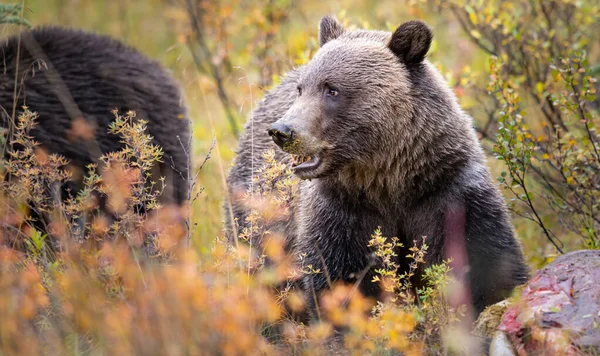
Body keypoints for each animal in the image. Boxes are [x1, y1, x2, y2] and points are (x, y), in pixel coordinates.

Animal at [226, 16, 528, 318]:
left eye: (332, 89)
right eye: (302, 89)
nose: (282, 131)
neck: (389, 180)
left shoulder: (448, 191)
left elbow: (488, 264)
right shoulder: (342, 211)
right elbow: (340, 282)